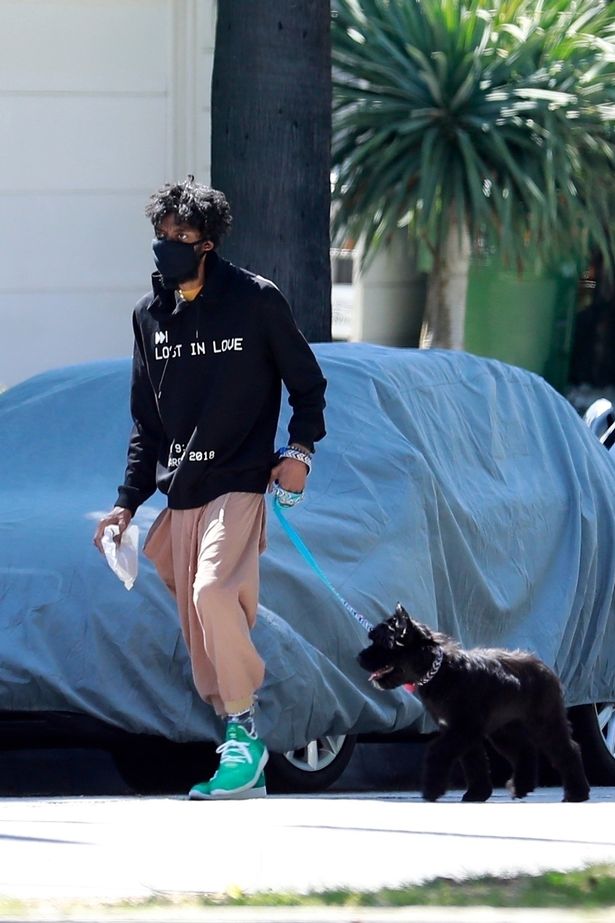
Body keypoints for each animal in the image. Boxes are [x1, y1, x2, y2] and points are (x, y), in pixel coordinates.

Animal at [358, 604, 590, 803]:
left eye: (382, 642)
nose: (359, 658)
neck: (440, 671)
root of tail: (546, 670)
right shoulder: (462, 732)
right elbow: (474, 762)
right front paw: (477, 794)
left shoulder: (463, 729)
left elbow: (437, 752)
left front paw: (432, 790)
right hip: (504, 729)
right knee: (525, 750)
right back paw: (521, 787)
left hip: (544, 722)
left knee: (568, 749)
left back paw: (577, 794)